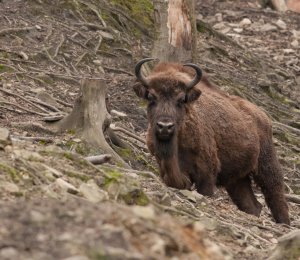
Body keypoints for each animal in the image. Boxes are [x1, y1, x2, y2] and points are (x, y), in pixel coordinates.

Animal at [132, 58, 290, 224]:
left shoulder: (206, 172)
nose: (165, 126)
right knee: (252, 204)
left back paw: (284, 223)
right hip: (237, 180)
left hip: (267, 166)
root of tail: (264, 117)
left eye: (181, 99)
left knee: (275, 193)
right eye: (151, 97)